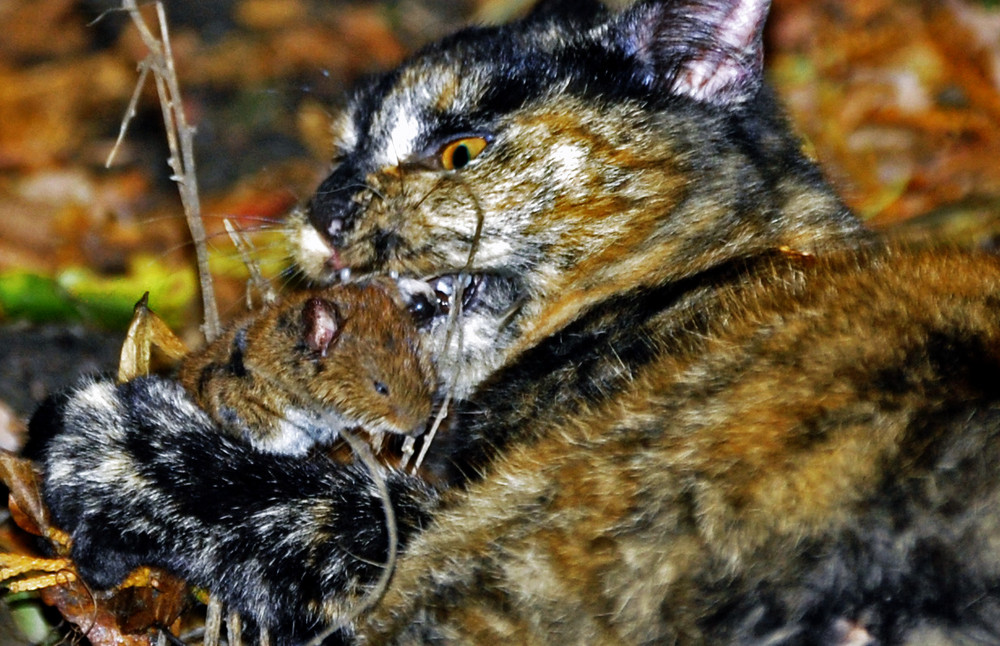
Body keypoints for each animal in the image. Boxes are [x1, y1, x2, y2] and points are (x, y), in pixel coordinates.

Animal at [23, 0, 1000, 644]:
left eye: (460, 150)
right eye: (343, 154)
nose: (327, 208)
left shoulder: (459, 545)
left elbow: (319, 505)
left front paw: (110, 440)